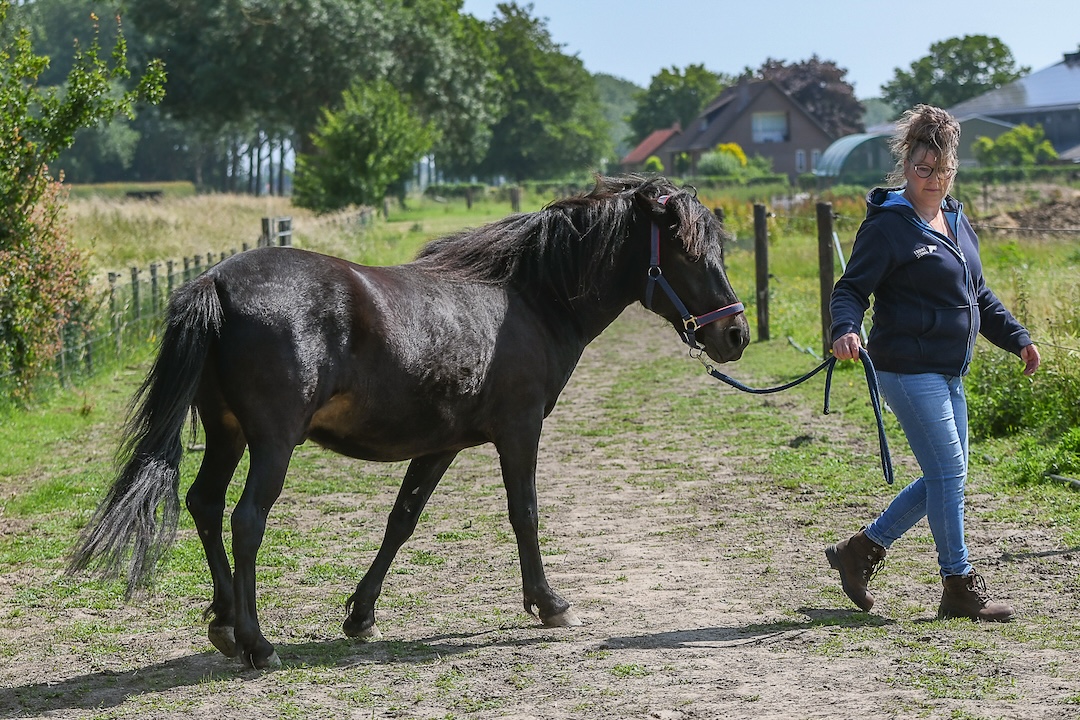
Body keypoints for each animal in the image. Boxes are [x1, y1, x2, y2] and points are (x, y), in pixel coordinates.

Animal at [67, 174, 750, 669]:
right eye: (688, 250)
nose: (736, 334)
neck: (527, 298)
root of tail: (214, 280)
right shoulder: (519, 430)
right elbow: (524, 513)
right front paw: (550, 603)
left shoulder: (441, 444)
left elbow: (403, 520)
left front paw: (360, 615)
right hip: (272, 443)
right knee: (245, 520)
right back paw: (258, 643)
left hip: (227, 433)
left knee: (205, 506)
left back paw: (226, 625)